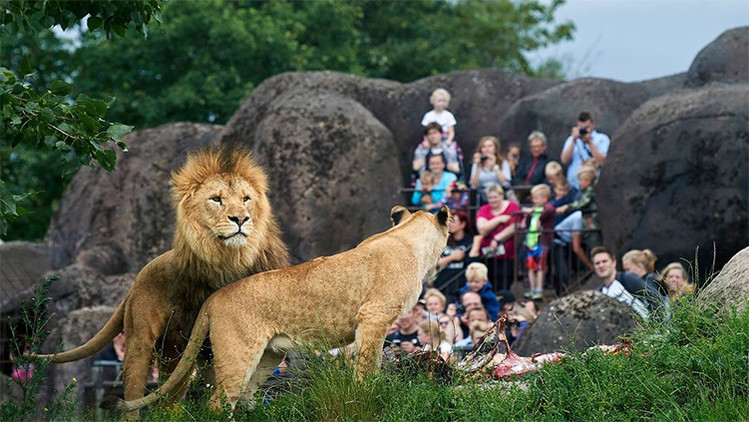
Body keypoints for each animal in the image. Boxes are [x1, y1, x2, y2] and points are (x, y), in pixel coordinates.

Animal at [32, 148, 290, 416]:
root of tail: (135, 282)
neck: (231, 260)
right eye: (216, 199)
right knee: (134, 401)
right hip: (140, 345)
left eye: (246, 199)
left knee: (167, 405)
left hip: (175, 355)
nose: (240, 218)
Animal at [105, 206, 450, 414]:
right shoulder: (373, 316)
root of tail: (213, 298)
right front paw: (366, 396)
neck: (407, 239)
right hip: (238, 353)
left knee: (246, 397)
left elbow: (374, 362)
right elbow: (367, 365)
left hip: (268, 354)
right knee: (218, 403)